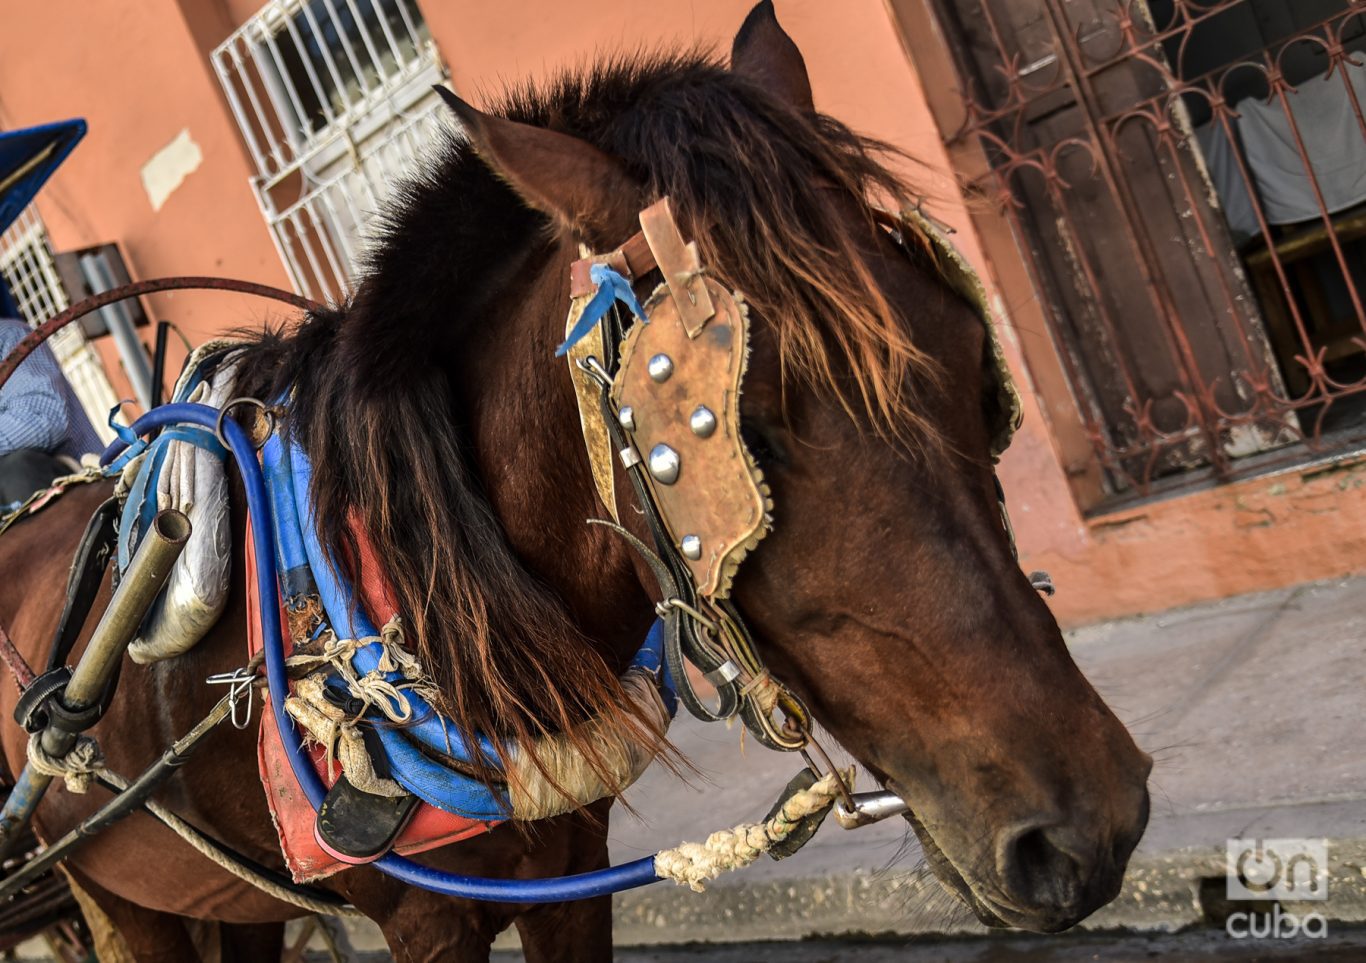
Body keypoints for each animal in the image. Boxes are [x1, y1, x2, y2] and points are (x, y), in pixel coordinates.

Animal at [0, 3, 1152, 956]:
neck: (409, 588)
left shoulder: (569, 861)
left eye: (968, 357)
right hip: (121, 890)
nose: (1089, 827)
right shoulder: (426, 918)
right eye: (750, 433)